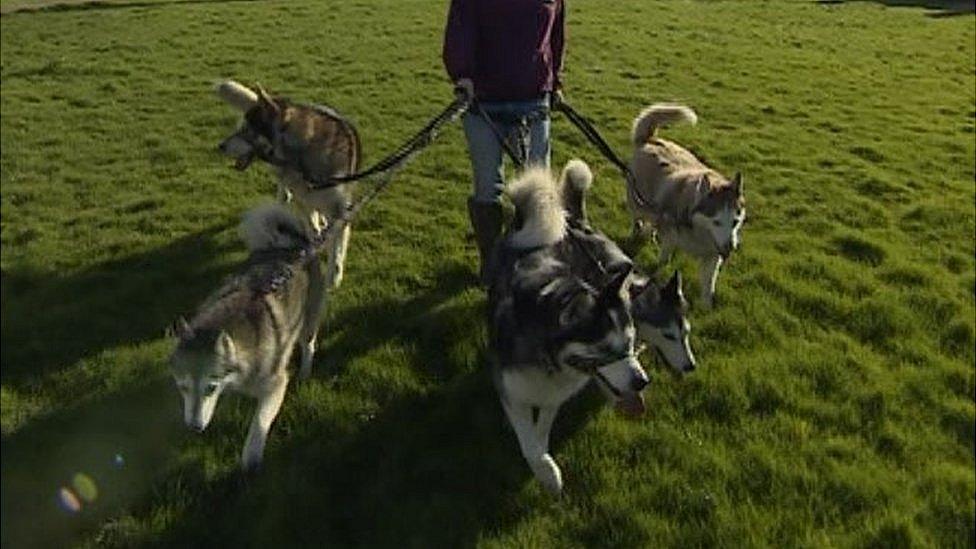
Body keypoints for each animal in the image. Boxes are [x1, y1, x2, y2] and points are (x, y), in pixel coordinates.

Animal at [171, 204, 328, 470]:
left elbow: (259, 423)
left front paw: (250, 458)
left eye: (210, 388)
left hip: (308, 321)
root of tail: (295, 245)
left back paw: (305, 372)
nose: (195, 428)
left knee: (309, 346)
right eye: (182, 387)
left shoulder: (276, 385)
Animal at [217, 80, 362, 292]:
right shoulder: (303, 199)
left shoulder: (339, 208)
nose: (220, 147)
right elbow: (311, 226)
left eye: (246, 130)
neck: (300, 157)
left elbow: (336, 246)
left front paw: (333, 276)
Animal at [488, 158, 692, 492]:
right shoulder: (512, 388)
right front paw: (546, 471)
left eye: (685, 334)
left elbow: (541, 429)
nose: (643, 382)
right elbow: (529, 438)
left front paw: (546, 466)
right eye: (669, 336)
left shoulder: (554, 394)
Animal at [628, 104, 744, 308]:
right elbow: (663, 263)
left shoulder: (712, 256)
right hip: (638, 200)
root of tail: (651, 140)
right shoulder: (670, 240)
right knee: (639, 216)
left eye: (735, 222)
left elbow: (708, 287)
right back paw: (638, 229)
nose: (729, 249)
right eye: (716, 222)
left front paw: (706, 308)